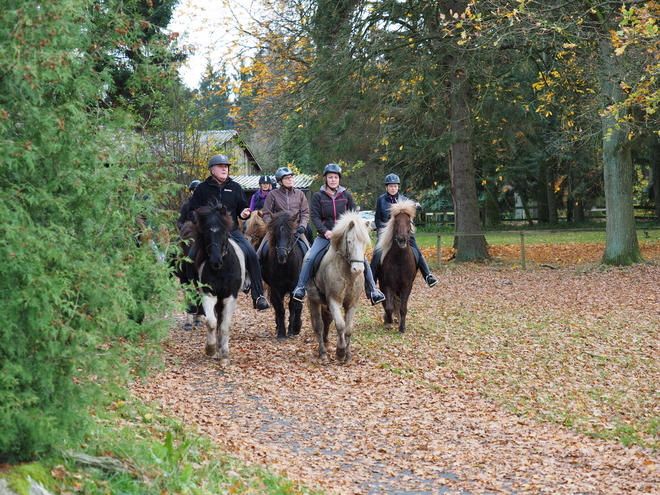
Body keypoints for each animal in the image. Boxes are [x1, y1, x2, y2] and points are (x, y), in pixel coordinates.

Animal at [191, 204, 248, 364]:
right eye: (206, 232)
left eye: (223, 231)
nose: (216, 261)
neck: (221, 270)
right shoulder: (208, 294)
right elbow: (211, 322)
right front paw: (210, 349)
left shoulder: (230, 296)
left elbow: (224, 325)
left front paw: (224, 354)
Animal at [260, 209, 306, 340]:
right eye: (276, 234)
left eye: (290, 234)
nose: (282, 256)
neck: (285, 266)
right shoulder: (275, 287)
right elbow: (280, 309)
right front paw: (281, 333)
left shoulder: (294, 286)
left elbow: (293, 306)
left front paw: (293, 330)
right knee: (276, 305)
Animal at [306, 210, 372, 364]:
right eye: (349, 241)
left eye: (364, 243)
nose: (358, 270)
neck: (347, 275)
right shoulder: (333, 301)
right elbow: (340, 325)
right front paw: (340, 352)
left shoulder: (352, 304)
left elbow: (348, 329)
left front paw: (347, 355)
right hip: (314, 301)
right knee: (319, 325)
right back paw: (323, 352)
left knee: (326, 321)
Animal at [374, 201, 416, 334]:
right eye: (396, 221)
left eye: (409, 221)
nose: (402, 239)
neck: (400, 261)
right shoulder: (387, 285)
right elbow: (388, 306)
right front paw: (389, 322)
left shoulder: (407, 286)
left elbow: (403, 308)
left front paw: (402, 328)